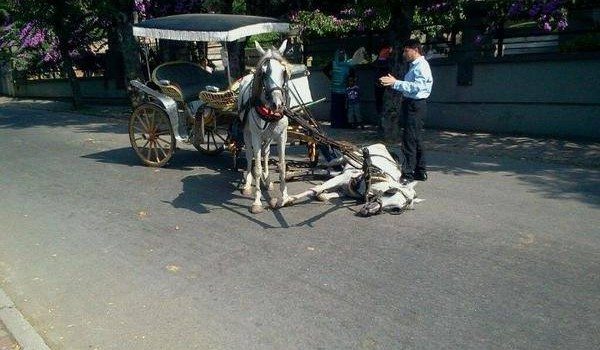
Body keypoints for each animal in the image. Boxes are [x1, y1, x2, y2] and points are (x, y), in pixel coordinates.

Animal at [237, 42, 290, 215]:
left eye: (283, 71)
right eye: (264, 73)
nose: (277, 104)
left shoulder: (281, 136)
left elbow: (282, 166)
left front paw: (285, 197)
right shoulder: (255, 135)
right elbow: (257, 167)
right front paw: (257, 202)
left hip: (268, 136)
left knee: (265, 153)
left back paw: (267, 180)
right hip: (248, 133)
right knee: (249, 155)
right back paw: (248, 183)